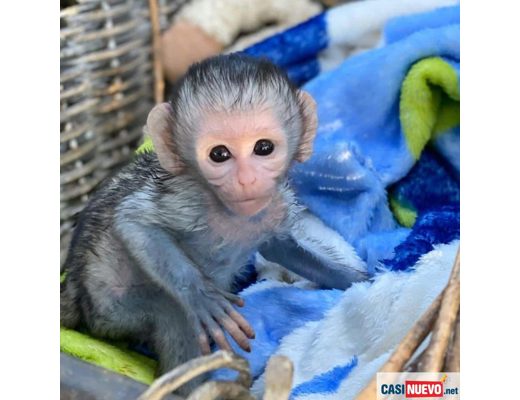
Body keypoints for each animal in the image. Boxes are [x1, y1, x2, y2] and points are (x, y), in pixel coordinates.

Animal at [61, 54, 366, 386]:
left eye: (263, 147)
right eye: (219, 154)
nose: (247, 180)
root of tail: (75, 290)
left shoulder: (274, 209)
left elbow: (283, 249)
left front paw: (363, 279)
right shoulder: (189, 198)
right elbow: (134, 221)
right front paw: (202, 296)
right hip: (111, 307)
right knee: (173, 314)